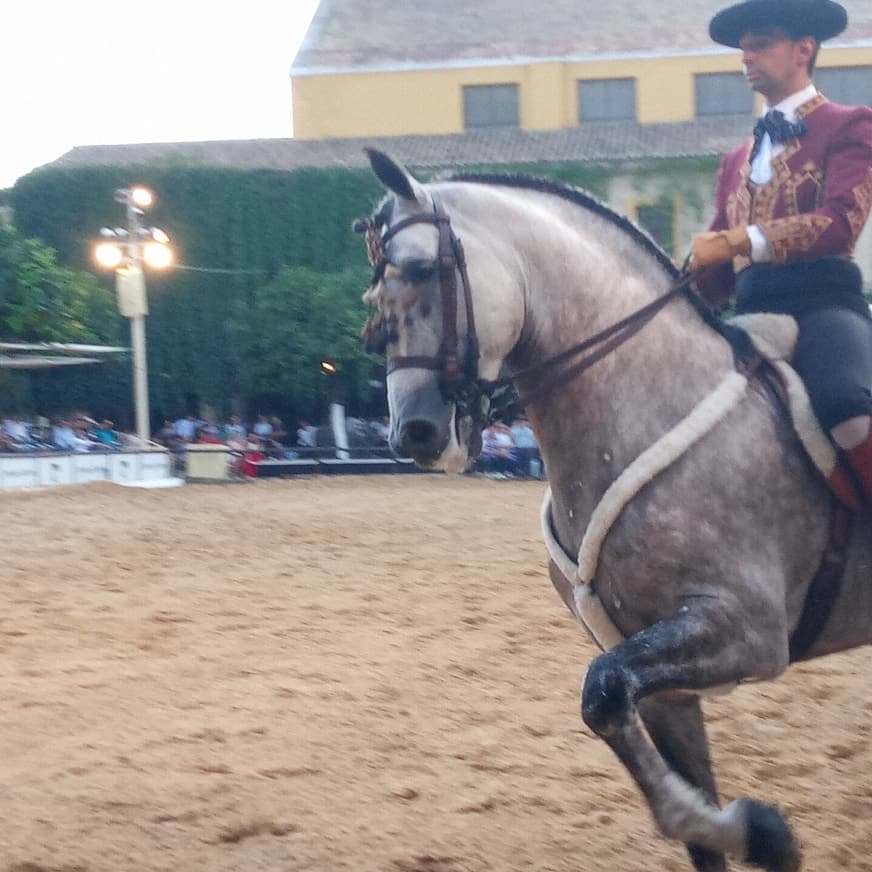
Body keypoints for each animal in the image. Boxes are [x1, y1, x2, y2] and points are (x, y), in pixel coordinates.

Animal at [356, 148, 872, 872]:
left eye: (425, 269)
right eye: (373, 297)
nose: (414, 433)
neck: (643, 396)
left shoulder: (748, 630)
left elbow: (600, 695)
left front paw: (766, 832)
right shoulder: (655, 672)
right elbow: (670, 789)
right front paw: (757, 833)